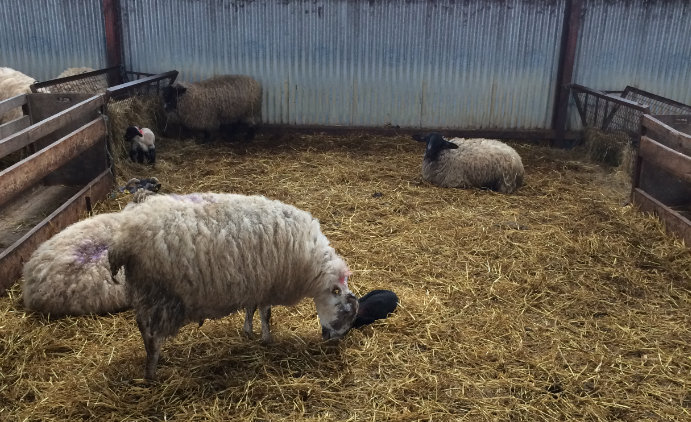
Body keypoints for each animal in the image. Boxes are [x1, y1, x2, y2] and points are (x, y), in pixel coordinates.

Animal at [108, 192, 359, 379]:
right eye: (346, 313)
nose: (332, 340)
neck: (312, 264)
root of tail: (123, 240)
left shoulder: (255, 281)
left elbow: (251, 308)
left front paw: (248, 331)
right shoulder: (269, 284)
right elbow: (266, 314)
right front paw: (267, 340)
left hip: (144, 291)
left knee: (142, 327)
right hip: (162, 294)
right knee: (152, 335)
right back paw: (152, 373)